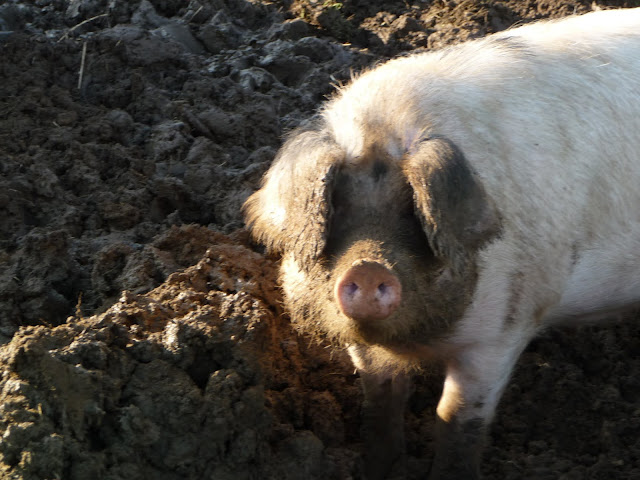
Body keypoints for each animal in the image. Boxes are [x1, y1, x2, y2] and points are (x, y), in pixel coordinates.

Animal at [243, 8, 640, 479]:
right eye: (337, 205)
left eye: (413, 211)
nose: (368, 267)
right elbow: (381, 400)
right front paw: (381, 468)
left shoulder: (505, 327)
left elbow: (456, 417)